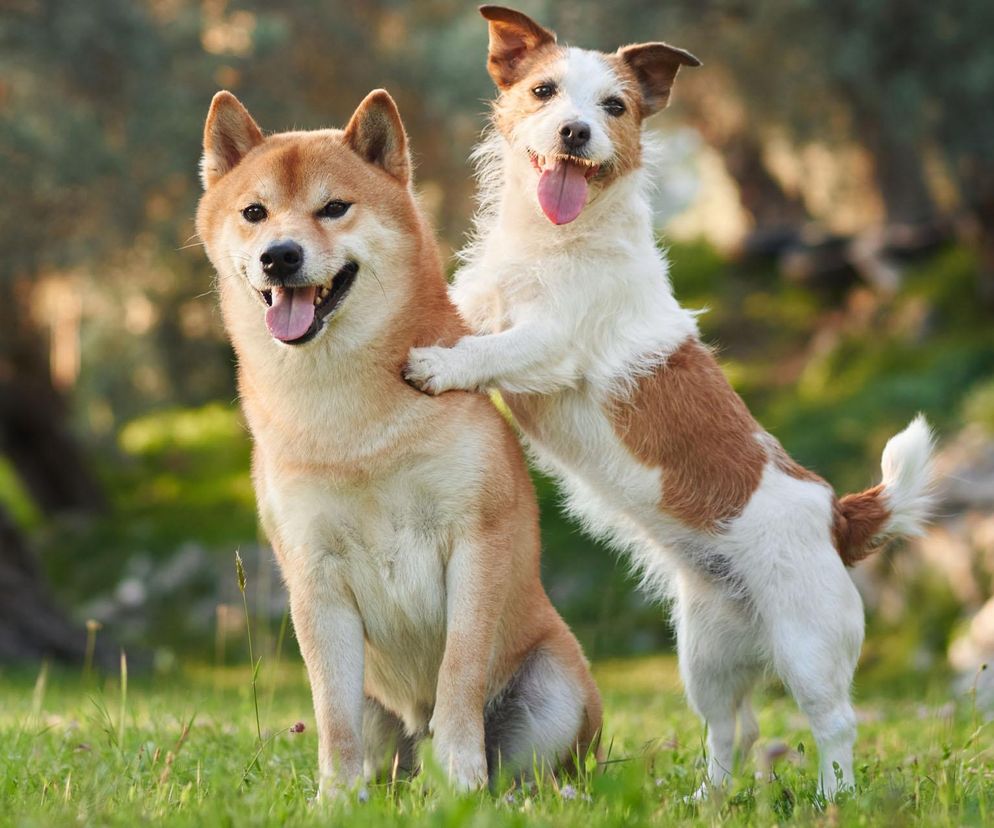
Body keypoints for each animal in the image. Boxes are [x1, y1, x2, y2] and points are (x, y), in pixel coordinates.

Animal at [194, 89, 596, 796]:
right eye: (254, 213)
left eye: (334, 207)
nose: (280, 255)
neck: (352, 422)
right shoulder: (314, 571)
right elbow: (333, 713)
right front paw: (335, 798)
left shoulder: (475, 539)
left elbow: (459, 675)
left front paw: (462, 780)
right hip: (386, 720)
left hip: (554, 687)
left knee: (531, 771)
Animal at [402, 4, 928, 796]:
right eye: (544, 91)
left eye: (614, 106)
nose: (575, 132)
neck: (556, 241)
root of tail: (839, 516)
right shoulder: (481, 302)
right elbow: (471, 317)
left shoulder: (551, 342)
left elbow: (488, 350)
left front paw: (438, 365)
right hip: (706, 653)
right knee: (733, 729)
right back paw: (709, 797)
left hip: (808, 645)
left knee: (834, 725)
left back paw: (833, 798)